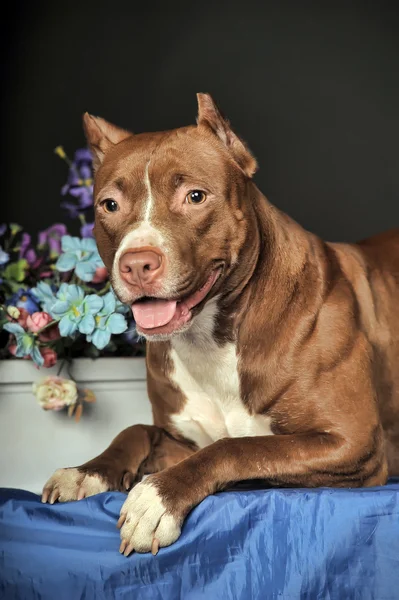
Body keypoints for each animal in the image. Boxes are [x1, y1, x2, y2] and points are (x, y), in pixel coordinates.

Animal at [42, 95, 398, 556]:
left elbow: (238, 449)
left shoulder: (351, 444)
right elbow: (137, 430)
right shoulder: (183, 438)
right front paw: (88, 471)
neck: (212, 338)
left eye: (195, 196)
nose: (137, 263)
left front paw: (156, 498)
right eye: (109, 205)